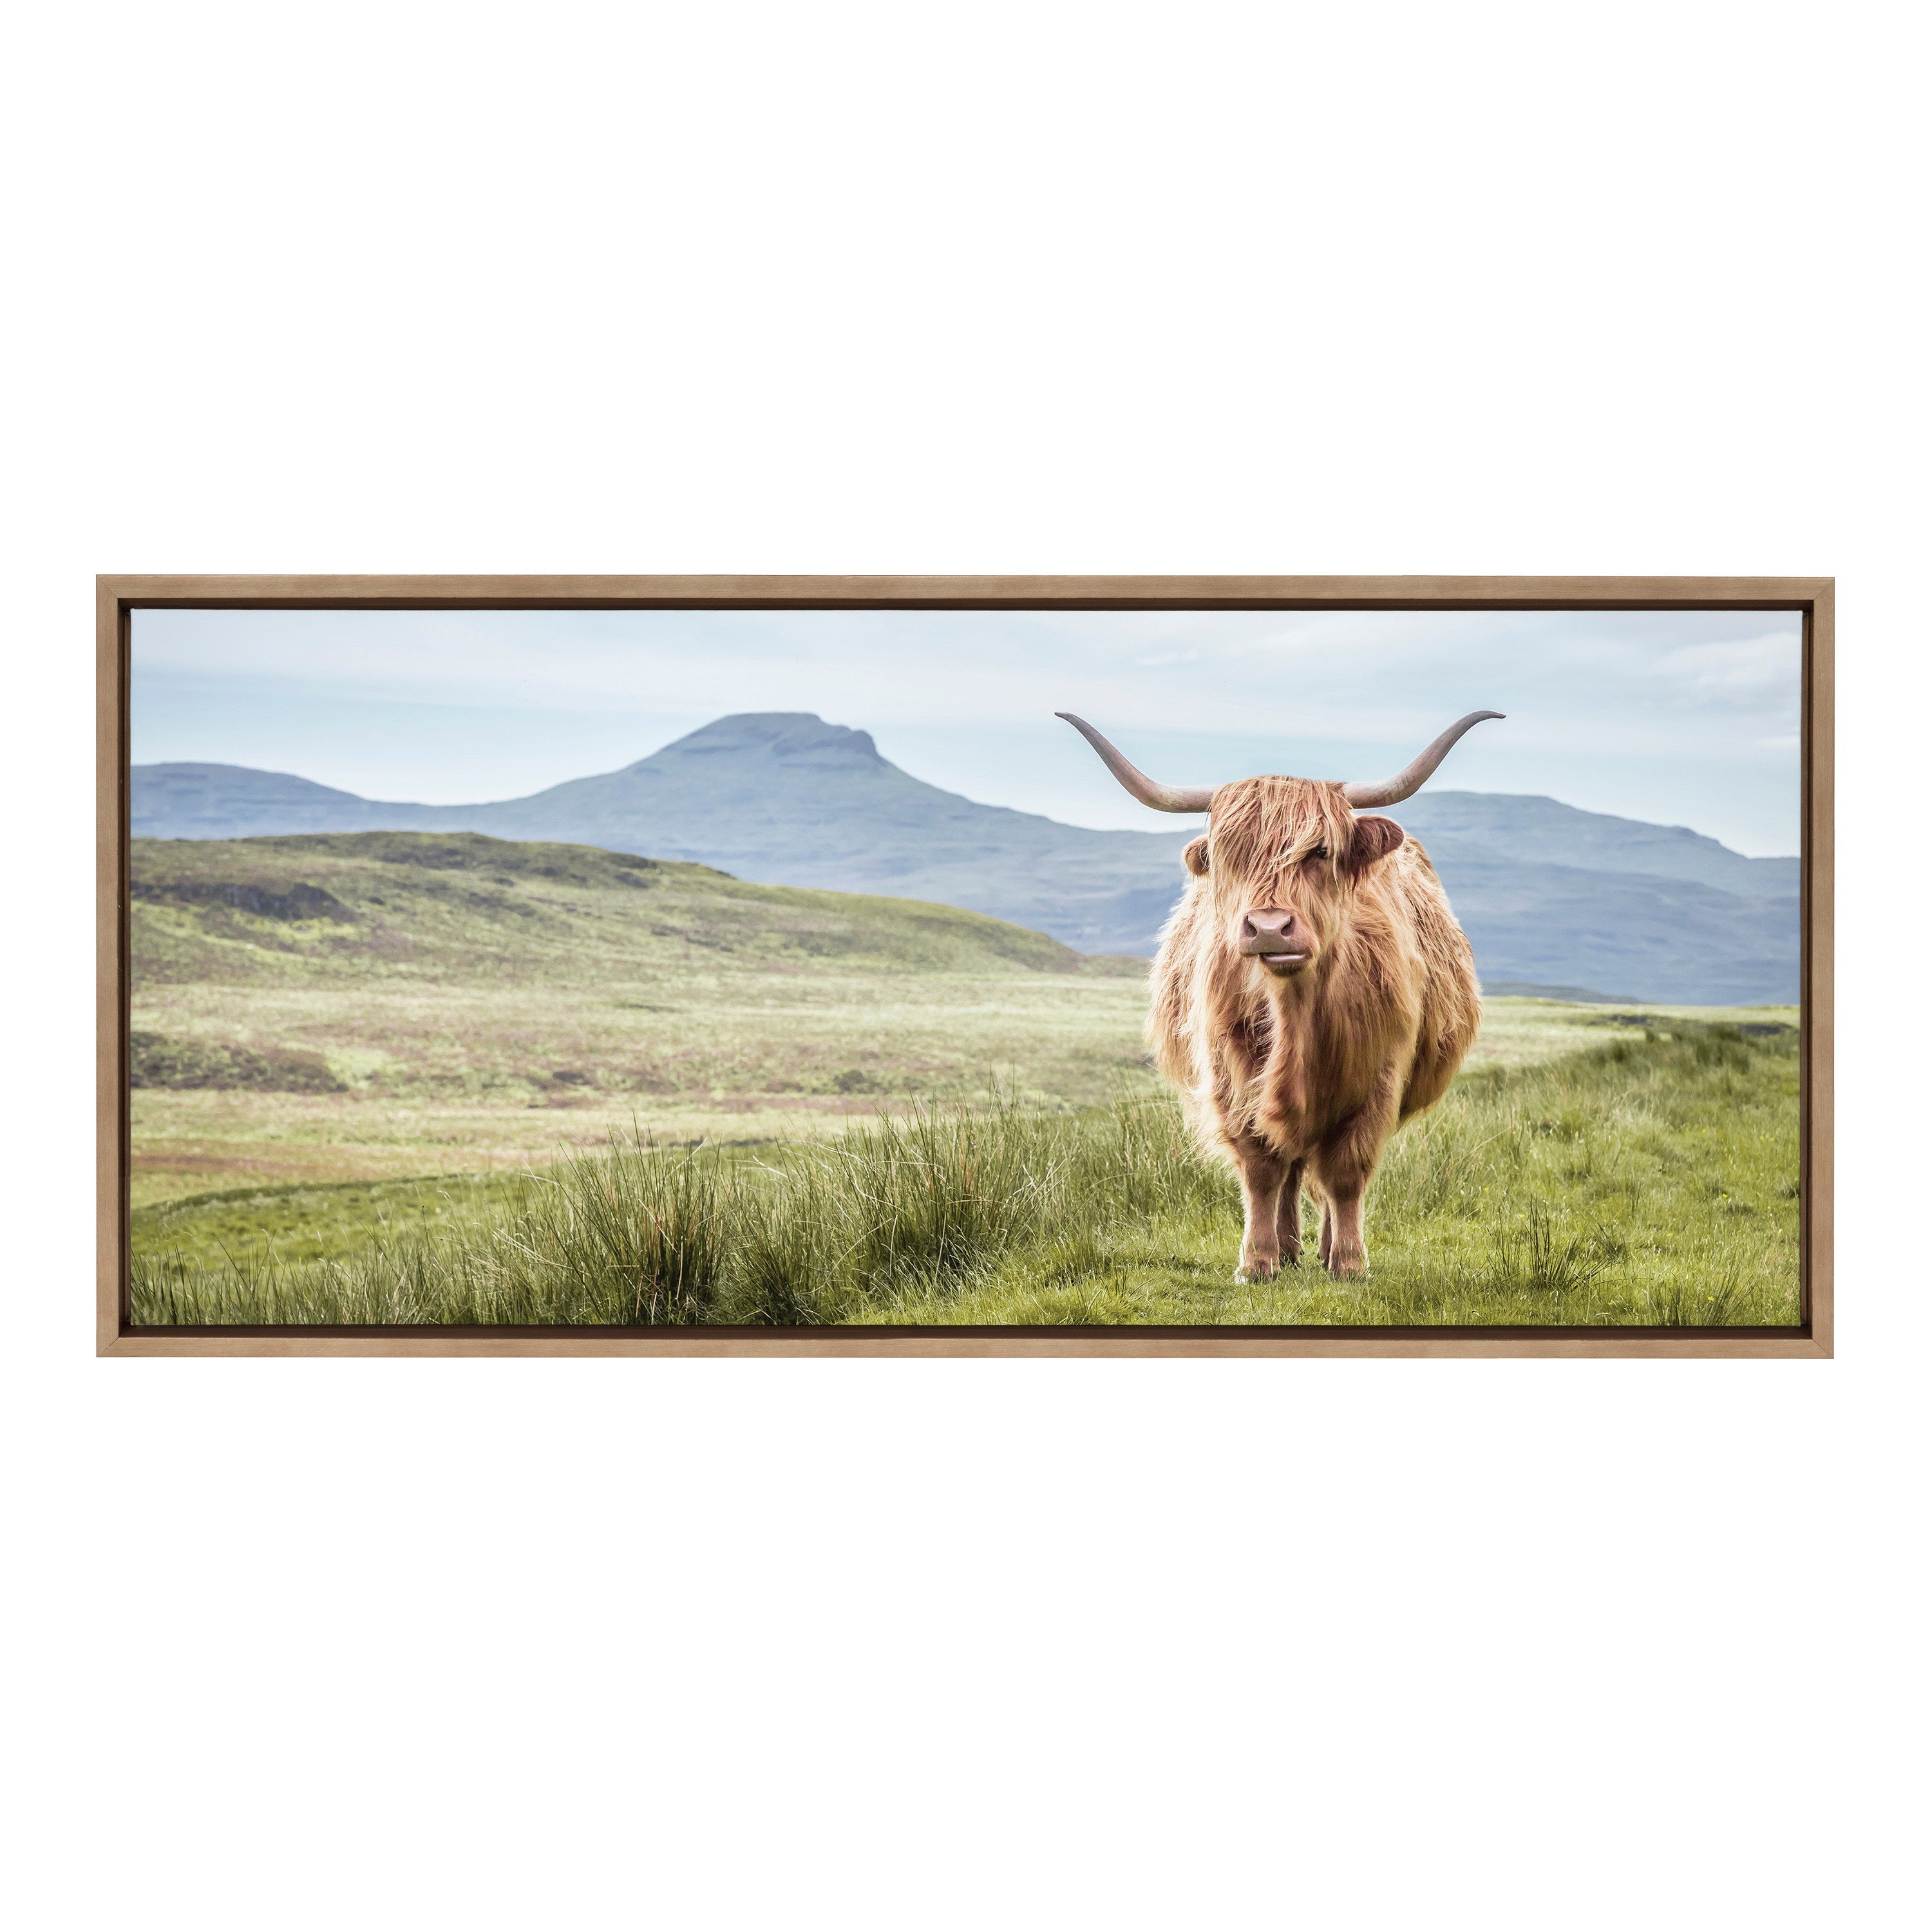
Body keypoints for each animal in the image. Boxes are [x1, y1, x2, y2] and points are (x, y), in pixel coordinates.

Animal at [1059, 710, 1503, 1283]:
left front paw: (1350, 1262)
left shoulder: (1378, 1079)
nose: (1269, 928)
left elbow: (1346, 1173)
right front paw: (1257, 1261)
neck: (1295, 1013)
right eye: (1229, 856)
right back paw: (1289, 1248)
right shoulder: (1231, 1075)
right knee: (1290, 1166)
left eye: (1320, 852)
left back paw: (1325, 1247)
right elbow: (1262, 1167)